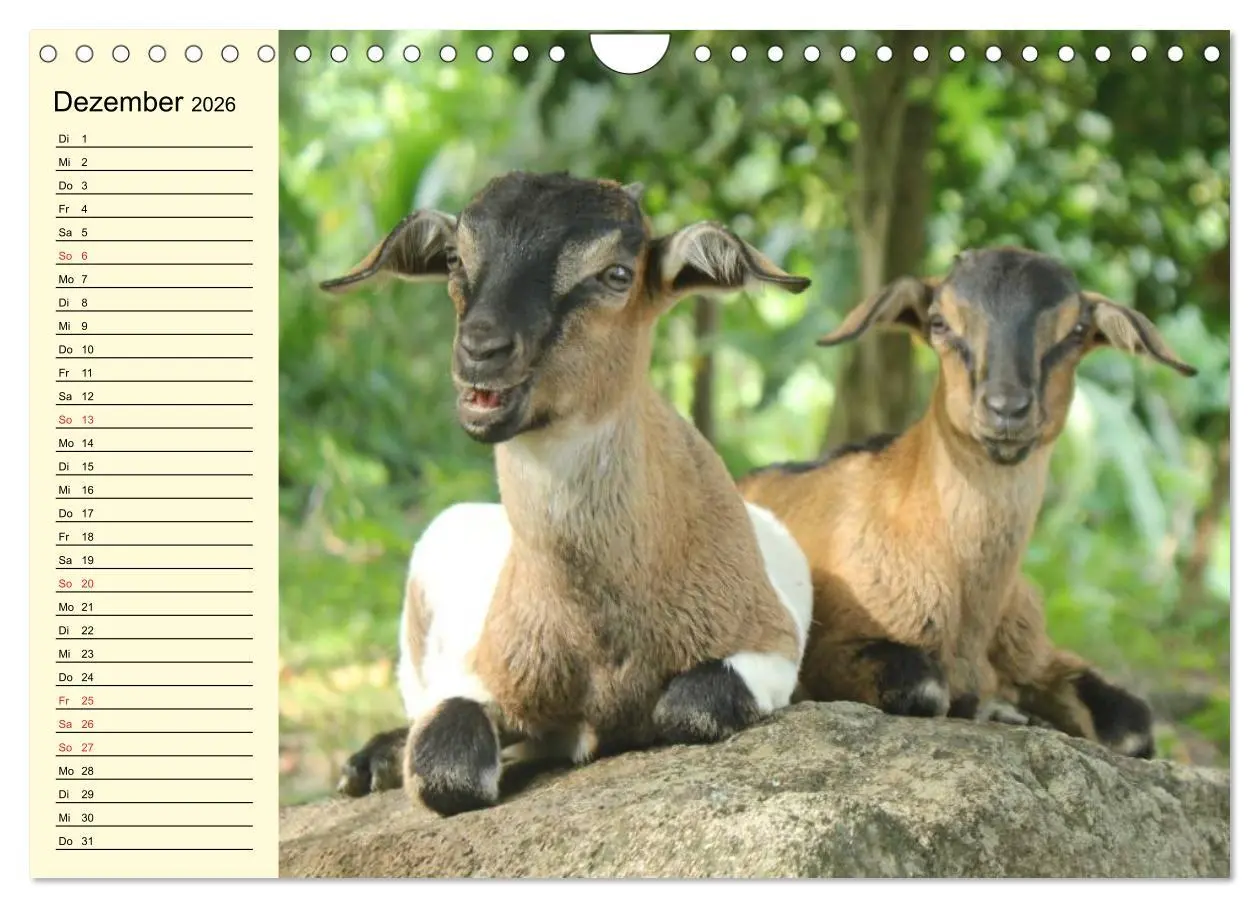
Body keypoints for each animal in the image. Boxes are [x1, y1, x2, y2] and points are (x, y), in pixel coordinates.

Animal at [318, 171, 814, 815]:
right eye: (454, 258)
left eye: (617, 274)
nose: (481, 349)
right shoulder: (485, 672)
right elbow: (446, 767)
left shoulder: (768, 645)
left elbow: (690, 708)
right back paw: (368, 765)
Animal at [738, 246, 1196, 758]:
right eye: (939, 322)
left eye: (1076, 331)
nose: (1006, 408)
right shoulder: (834, 647)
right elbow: (925, 688)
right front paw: (1002, 710)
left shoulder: (1036, 653)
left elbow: (1133, 723)